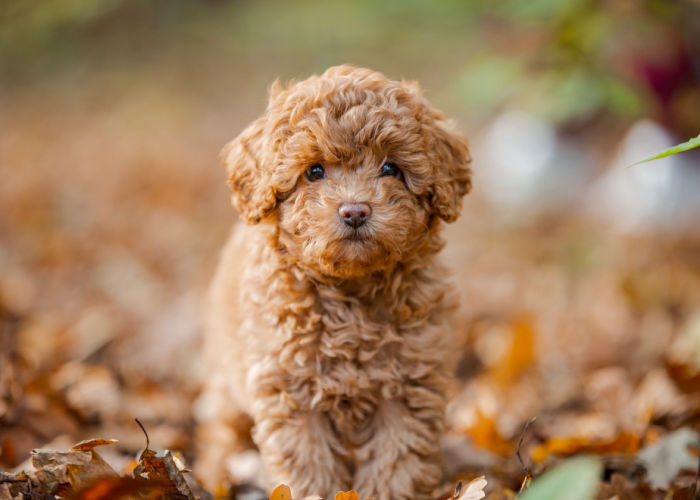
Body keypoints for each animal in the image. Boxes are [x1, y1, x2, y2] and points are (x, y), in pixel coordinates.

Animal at [197, 66, 470, 500]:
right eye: (314, 171)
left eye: (390, 168)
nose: (355, 210)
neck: (350, 292)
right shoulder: (292, 389)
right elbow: (308, 464)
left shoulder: (408, 383)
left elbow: (397, 458)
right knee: (223, 427)